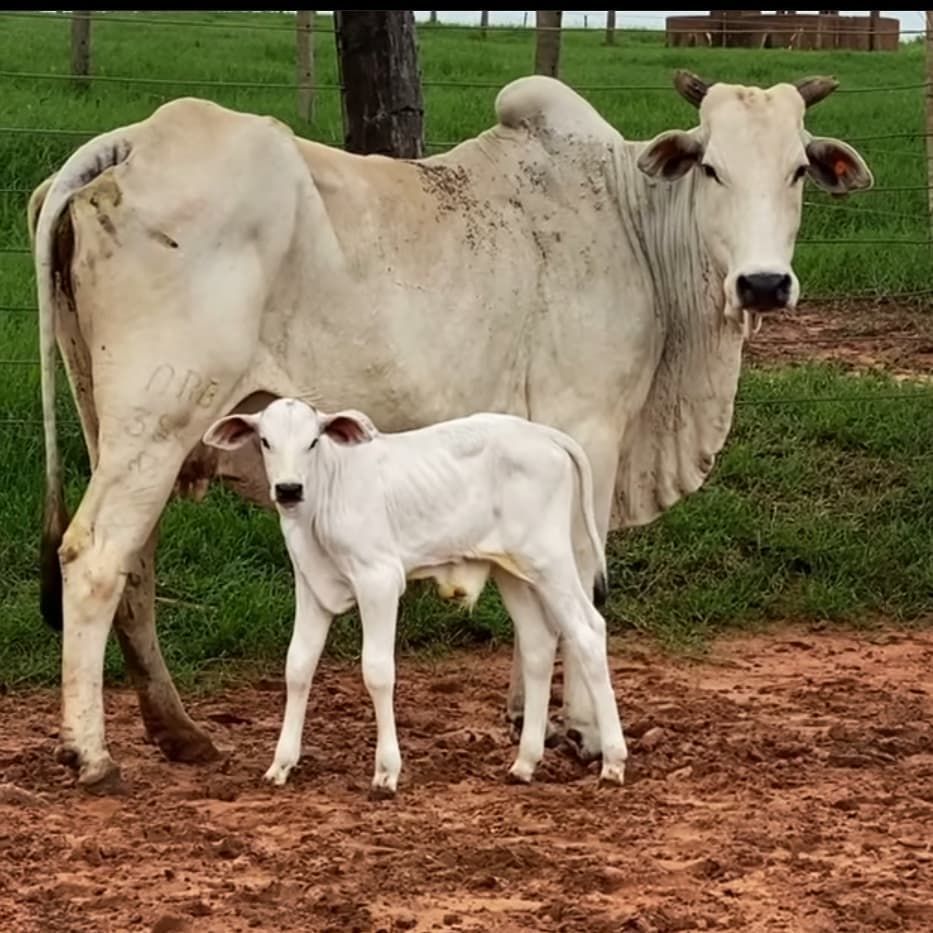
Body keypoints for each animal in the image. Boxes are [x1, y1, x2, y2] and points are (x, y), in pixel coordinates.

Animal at [203, 396, 628, 796]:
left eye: (313, 441)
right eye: (265, 441)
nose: (289, 489)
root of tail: (545, 435)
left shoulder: (379, 580)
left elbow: (377, 671)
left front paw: (386, 771)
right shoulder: (311, 588)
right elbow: (297, 667)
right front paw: (281, 764)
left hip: (550, 559)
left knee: (588, 631)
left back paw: (612, 761)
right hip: (512, 570)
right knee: (539, 642)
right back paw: (525, 763)